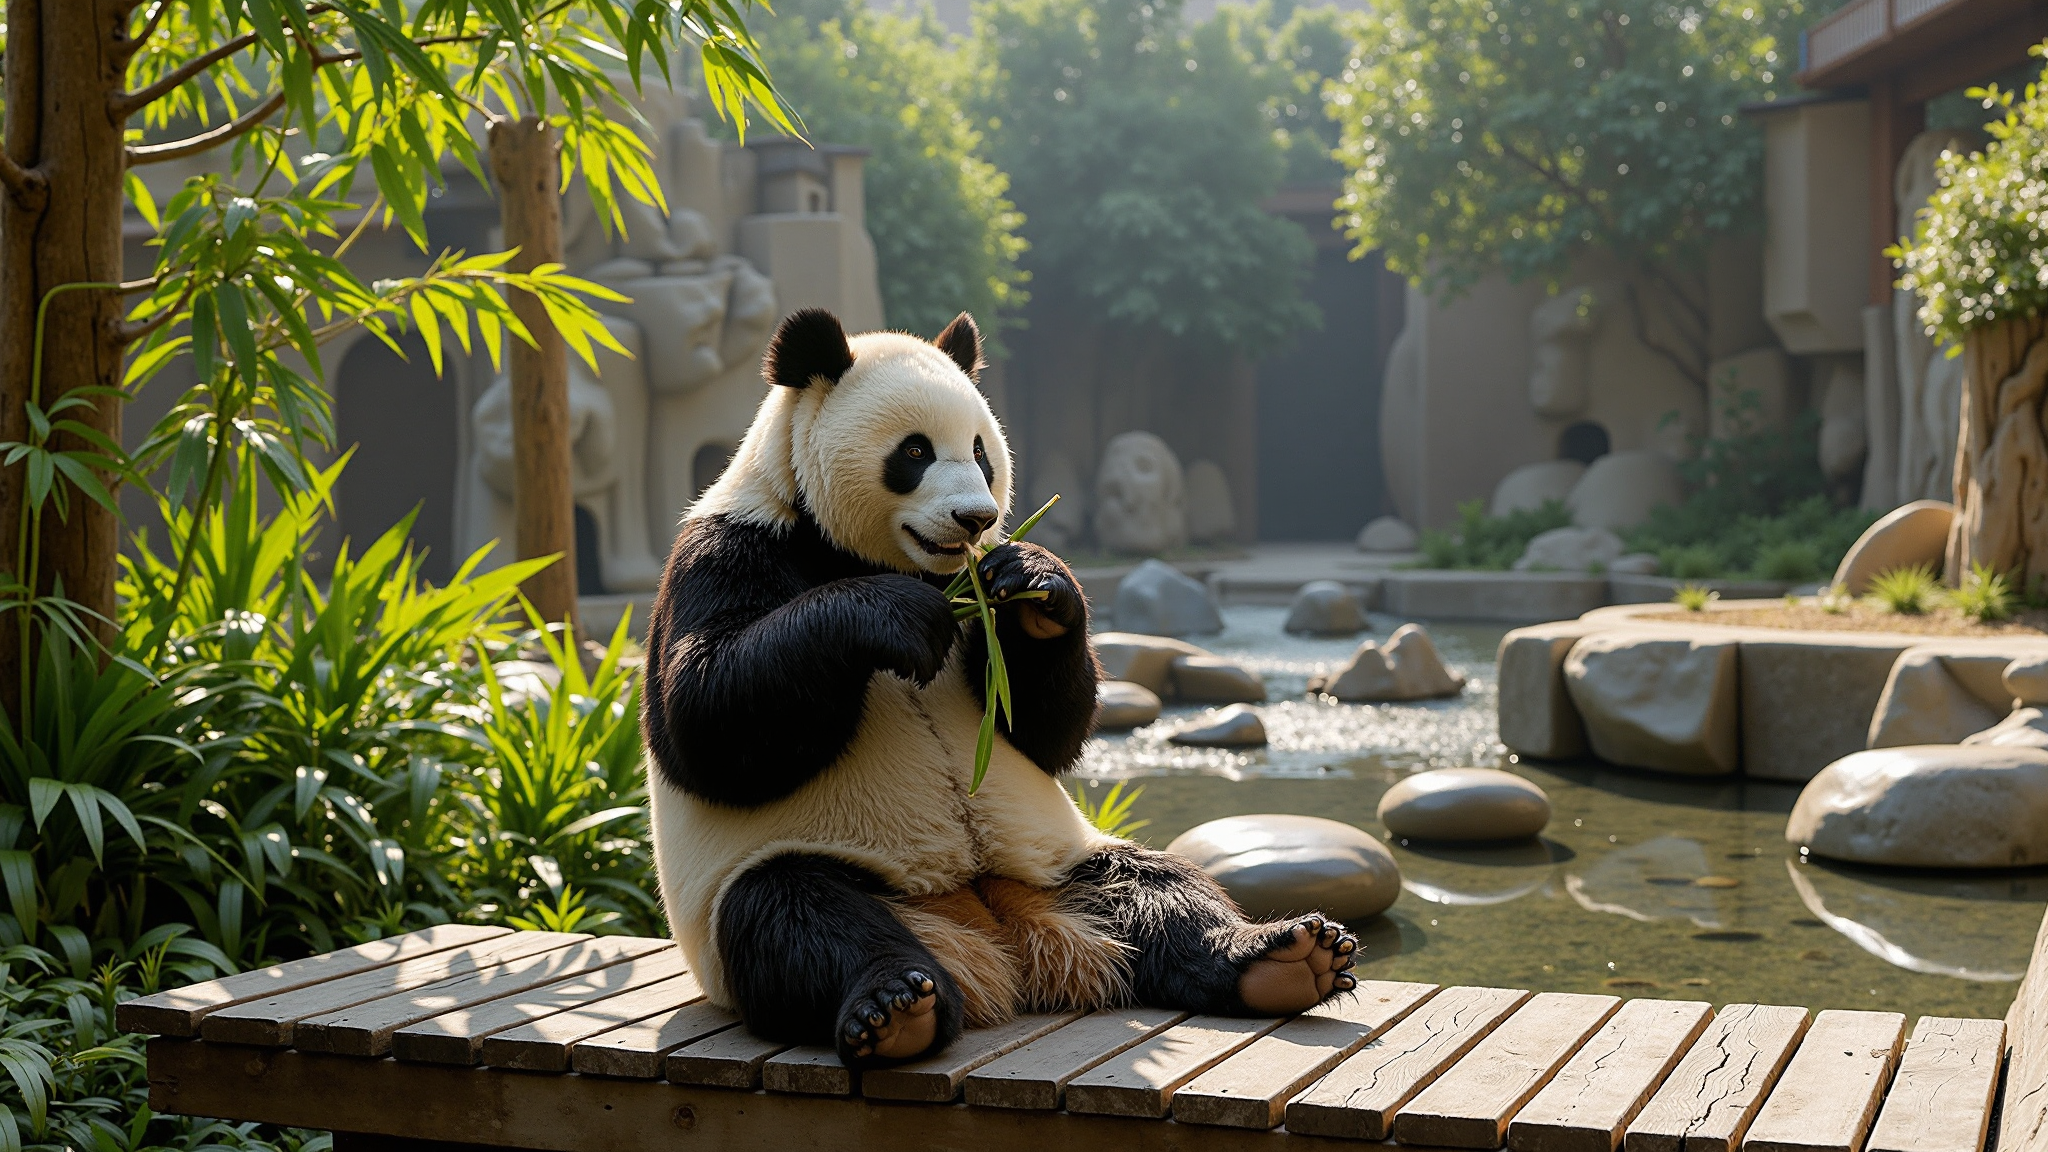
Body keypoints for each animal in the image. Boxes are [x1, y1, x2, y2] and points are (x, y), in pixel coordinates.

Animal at [644, 307, 1358, 1067]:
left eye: (982, 452)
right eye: (915, 452)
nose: (976, 519)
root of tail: (994, 934)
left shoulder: (976, 598)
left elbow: (1041, 732)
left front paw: (1037, 583)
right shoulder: (731, 550)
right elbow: (707, 720)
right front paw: (895, 617)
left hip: (1062, 859)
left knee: (1161, 890)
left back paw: (1282, 957)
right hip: (782, 874)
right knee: (796, 915)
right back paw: (895, 1004)